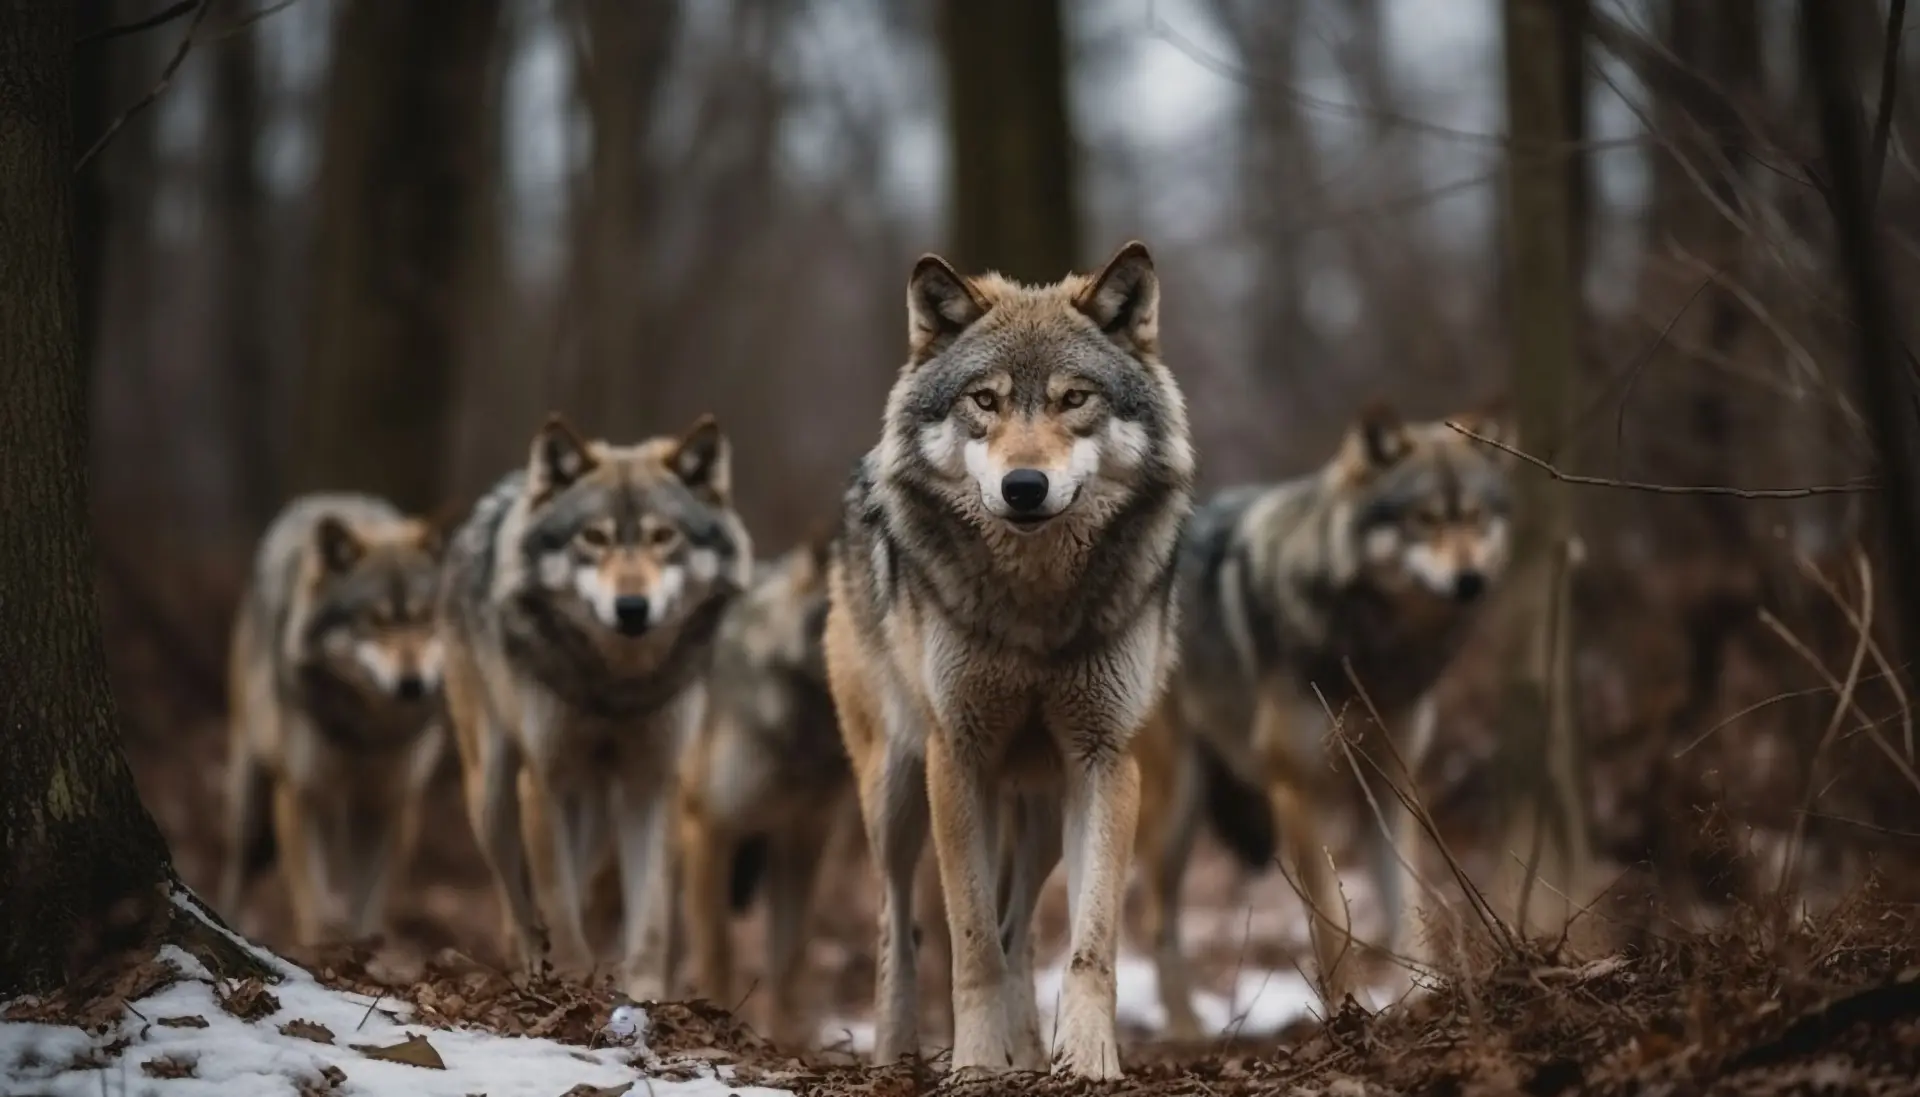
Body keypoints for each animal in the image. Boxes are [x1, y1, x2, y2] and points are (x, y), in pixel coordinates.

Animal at [219, 493, 450, 947]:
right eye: (375, 621)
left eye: (426, 619)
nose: (413, 684)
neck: (367, 728)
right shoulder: (301, 795)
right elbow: (312, 901)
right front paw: (320, 951)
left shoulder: (388, 804)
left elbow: (369, 907)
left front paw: (363, 951)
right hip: (252, 801)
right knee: (237, 869)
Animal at [438, 413, 752, 1002]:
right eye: (594, 537)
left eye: (662, 537)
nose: (631, 608)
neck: (617, 685)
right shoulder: (546, 781)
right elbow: (557, 902)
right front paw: (568, 977)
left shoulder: (653, 784)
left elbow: (650, 917)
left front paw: (645, 994)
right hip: (493, 793)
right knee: (516, 896)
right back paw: (528, 963)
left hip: (594, 806)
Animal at [676, 524, 849, 1047]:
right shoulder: (711, 831)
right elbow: (718, 952)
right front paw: (716, 1025)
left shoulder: (800, 844)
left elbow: (789, 963)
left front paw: (790, 1045)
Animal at [825, 240, 1195, 1080]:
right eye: (986, 401)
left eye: (1073, 399)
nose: (1025, 486)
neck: (1036, 607)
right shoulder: (957, 755)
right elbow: (969, 944)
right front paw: (976, 1063)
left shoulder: (1104, 759)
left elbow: (1088, 943)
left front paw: (1087, 1058)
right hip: (897, 788)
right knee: (900, 922)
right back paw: (897, 1053)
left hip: (1040, 808)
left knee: (1020, 924)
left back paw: (1030, 1049)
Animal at [1131, 402, 1517, 1036]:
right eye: (1424, 520)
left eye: (1476, 518)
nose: (1469, 582)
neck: (1370, 647)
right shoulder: (1295, 789)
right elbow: (1333, 921)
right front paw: (1350, 1011)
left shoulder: (1391, 788)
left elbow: (1406, 905)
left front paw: (1426, 1000)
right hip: (1173, 808)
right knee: (1149, 918)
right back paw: (1183, 1032)